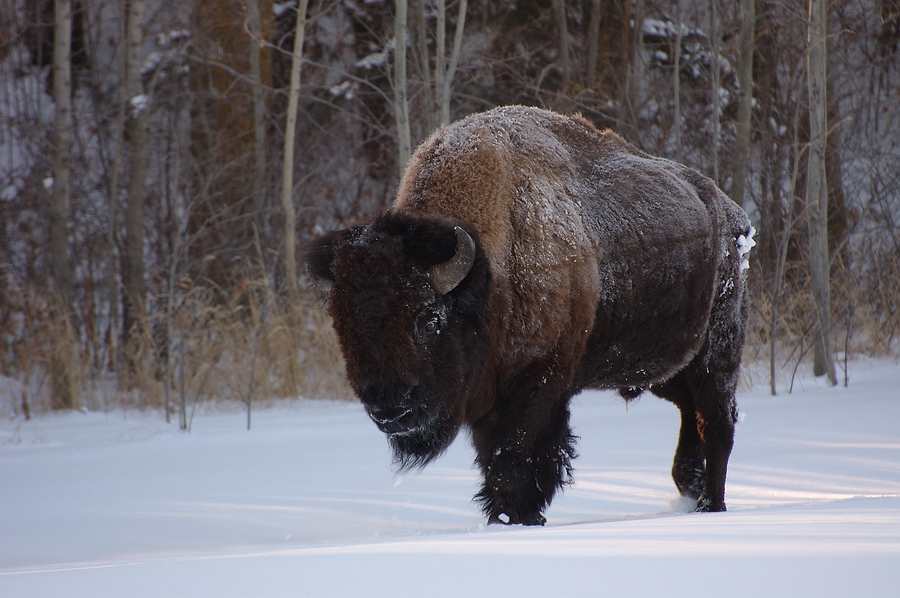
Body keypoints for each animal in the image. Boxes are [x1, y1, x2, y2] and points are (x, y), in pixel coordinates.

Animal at [306, 105, 756, 528]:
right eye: (342, 327)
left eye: (430, 321)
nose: (389, 410)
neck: (491, 270)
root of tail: (733, 214)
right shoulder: (488, 397)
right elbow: (494, 463)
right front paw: (507, 519)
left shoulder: (538, 383)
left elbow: (516, 459)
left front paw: (518, 518)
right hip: (665, 368)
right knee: (690, 412)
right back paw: (689, 487)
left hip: (717, 352)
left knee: (718, 422)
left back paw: (709, 505)